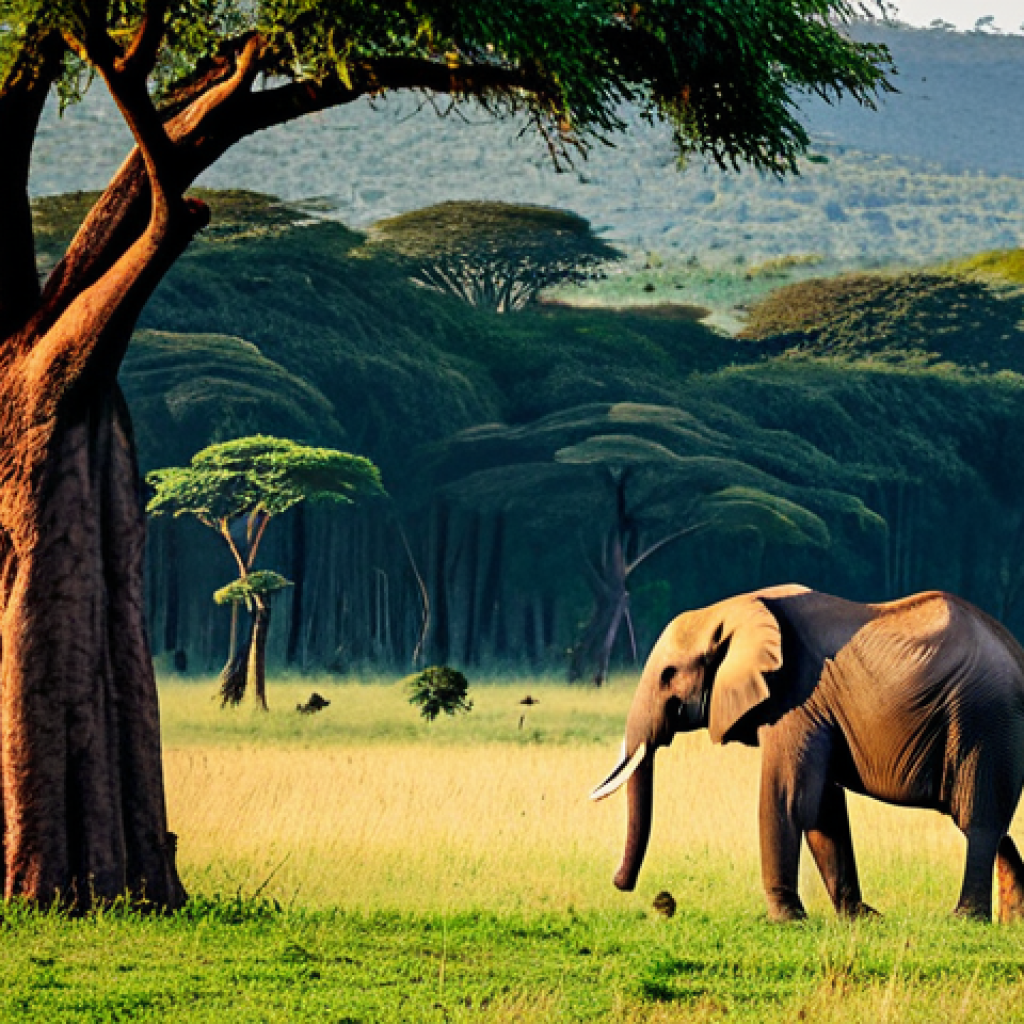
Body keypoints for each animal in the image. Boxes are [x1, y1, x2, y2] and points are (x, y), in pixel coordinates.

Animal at [591, 584, 1024, 922]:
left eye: (668, 675)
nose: (620, 883)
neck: (734, 609)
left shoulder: (795, 702)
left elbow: (787, 799)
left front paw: (787, 920)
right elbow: (823, 808)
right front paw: (861, 919)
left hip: (984, 720)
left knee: (977, 820)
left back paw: (965, 918)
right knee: (992, 824)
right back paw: (1011, 919)